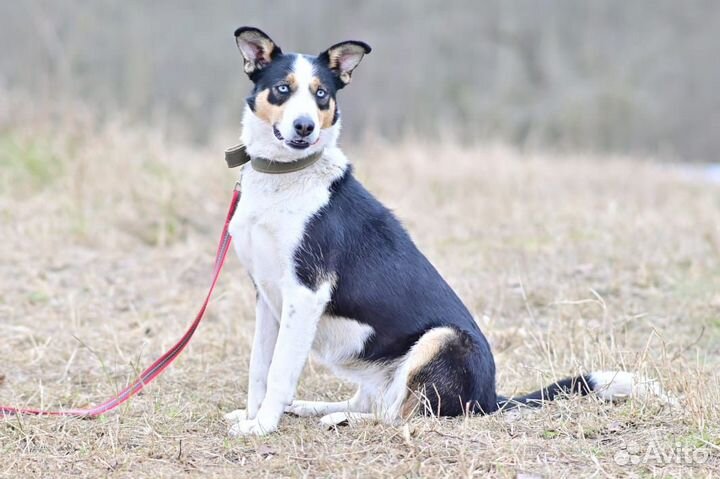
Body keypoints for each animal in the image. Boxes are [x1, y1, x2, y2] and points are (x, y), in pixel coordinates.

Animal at [224, 28, 660, 436]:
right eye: (283, 89)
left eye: (321, 94)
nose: (305, 127)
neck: (284, 177)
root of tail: (491, 398)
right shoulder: (267, 296)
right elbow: (259, 369)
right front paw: (252, 415)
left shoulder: (305, 293)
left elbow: (279, 372)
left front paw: (262, 426)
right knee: (379, 402)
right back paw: (317, 408)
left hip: (443, 338)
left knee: (399, 415)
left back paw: (342, 419)